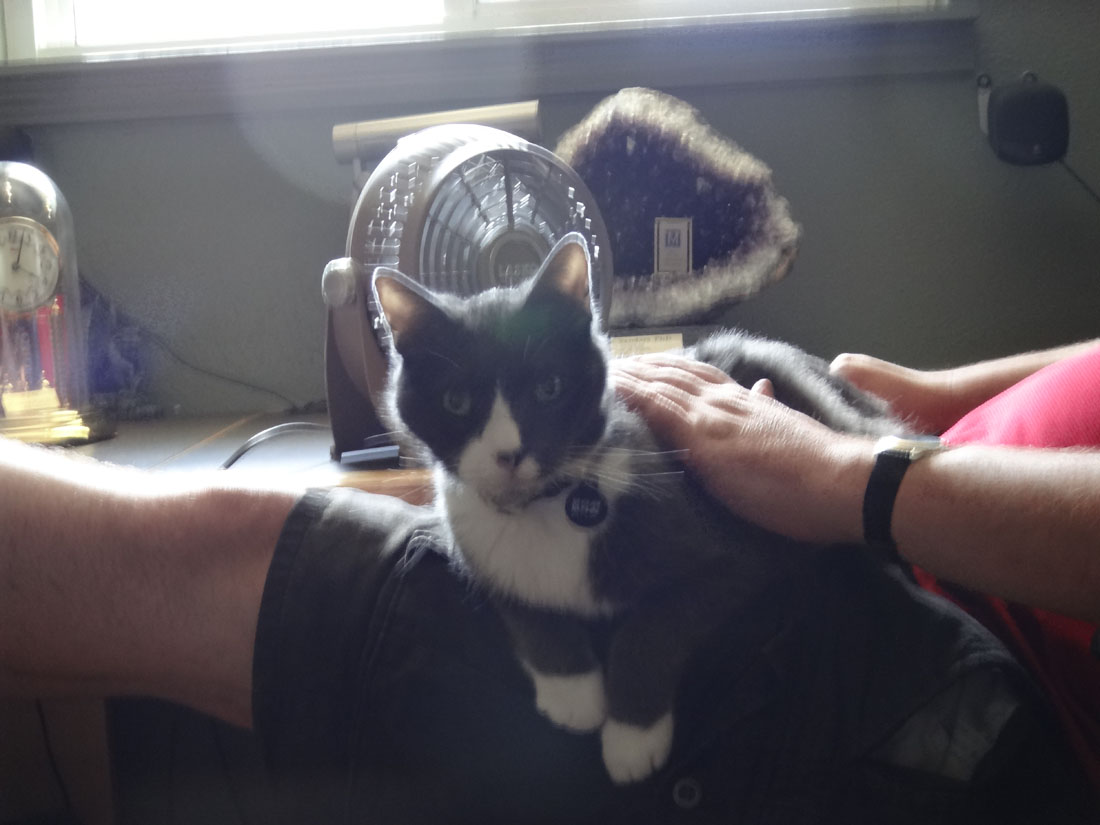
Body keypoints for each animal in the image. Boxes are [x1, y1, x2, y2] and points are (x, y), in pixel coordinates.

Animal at [371, 232, 907, 784]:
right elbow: (519, 604)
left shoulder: (731, 555)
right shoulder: (471, 543)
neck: (545, 504)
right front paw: (573, 693)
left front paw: (631, 739)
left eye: (549, 387)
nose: (509, 454)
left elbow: (654, 627)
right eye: (455, 401)